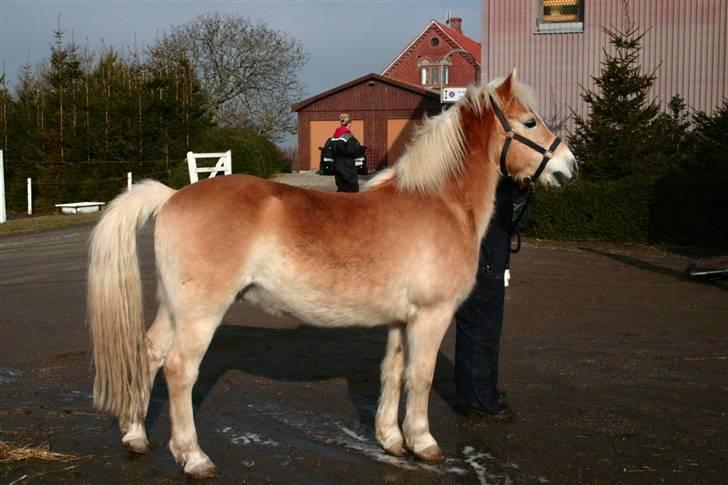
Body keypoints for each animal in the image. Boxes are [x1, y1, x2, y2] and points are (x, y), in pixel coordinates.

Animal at [86, 72, 576, 476]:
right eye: (529, 123)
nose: (568, 167)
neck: (439, 202)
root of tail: (171, 196)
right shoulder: (431, 316)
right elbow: (420, 377)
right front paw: (424, 443)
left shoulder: (402, 320)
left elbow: (392, 372)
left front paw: (391, 440)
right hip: (200, 313)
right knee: (179, 369)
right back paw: (194, 457)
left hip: (175, 308)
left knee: (149, 353)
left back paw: (135, 436)